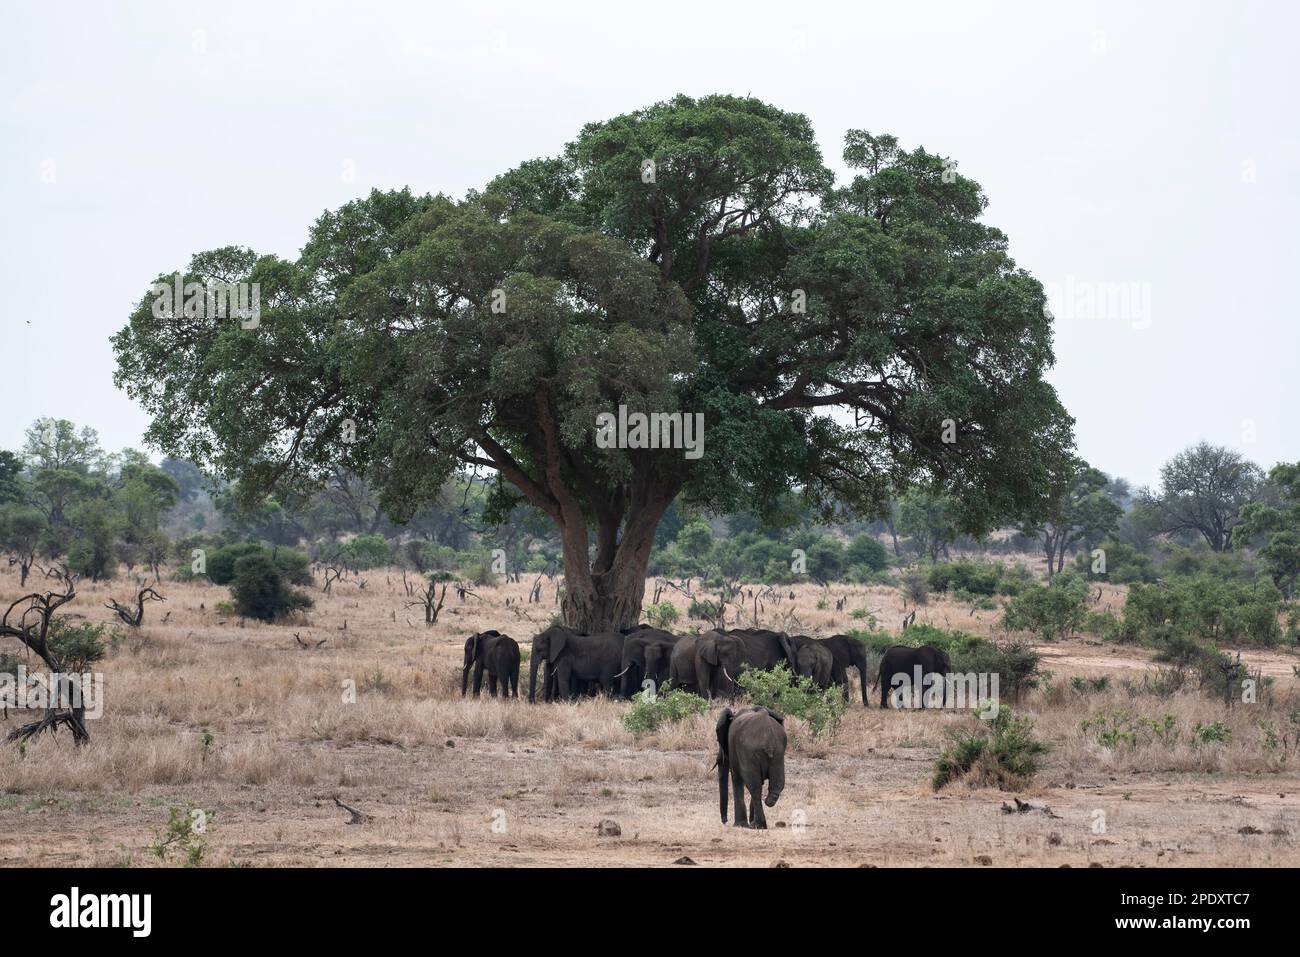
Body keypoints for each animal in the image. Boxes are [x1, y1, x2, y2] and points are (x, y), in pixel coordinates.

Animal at [717, 702, 785, 832]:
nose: (724, 821)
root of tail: (768, 739)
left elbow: (736, 778)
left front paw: (739, 825)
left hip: (749, 751)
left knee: (754, 787)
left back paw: (757, 825)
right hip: (778, 753)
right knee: (775, 784)